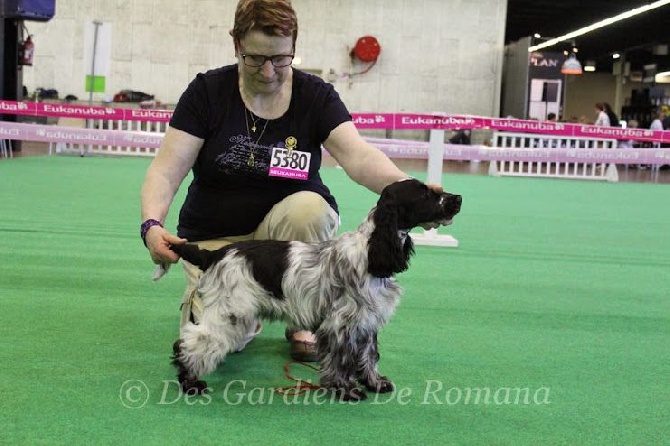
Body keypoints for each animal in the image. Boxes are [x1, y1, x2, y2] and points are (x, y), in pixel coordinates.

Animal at [169, 178, 462, 400]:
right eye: (424, 193)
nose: (458, 198)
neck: (370, 251)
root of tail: (214, 254)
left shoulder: (367, 320)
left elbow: (369, 354)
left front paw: (375, 383)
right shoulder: (342, 323)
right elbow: (341, 359)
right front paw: (345, 390)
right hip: (229, 313)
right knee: (190, 343)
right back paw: (190, 383)